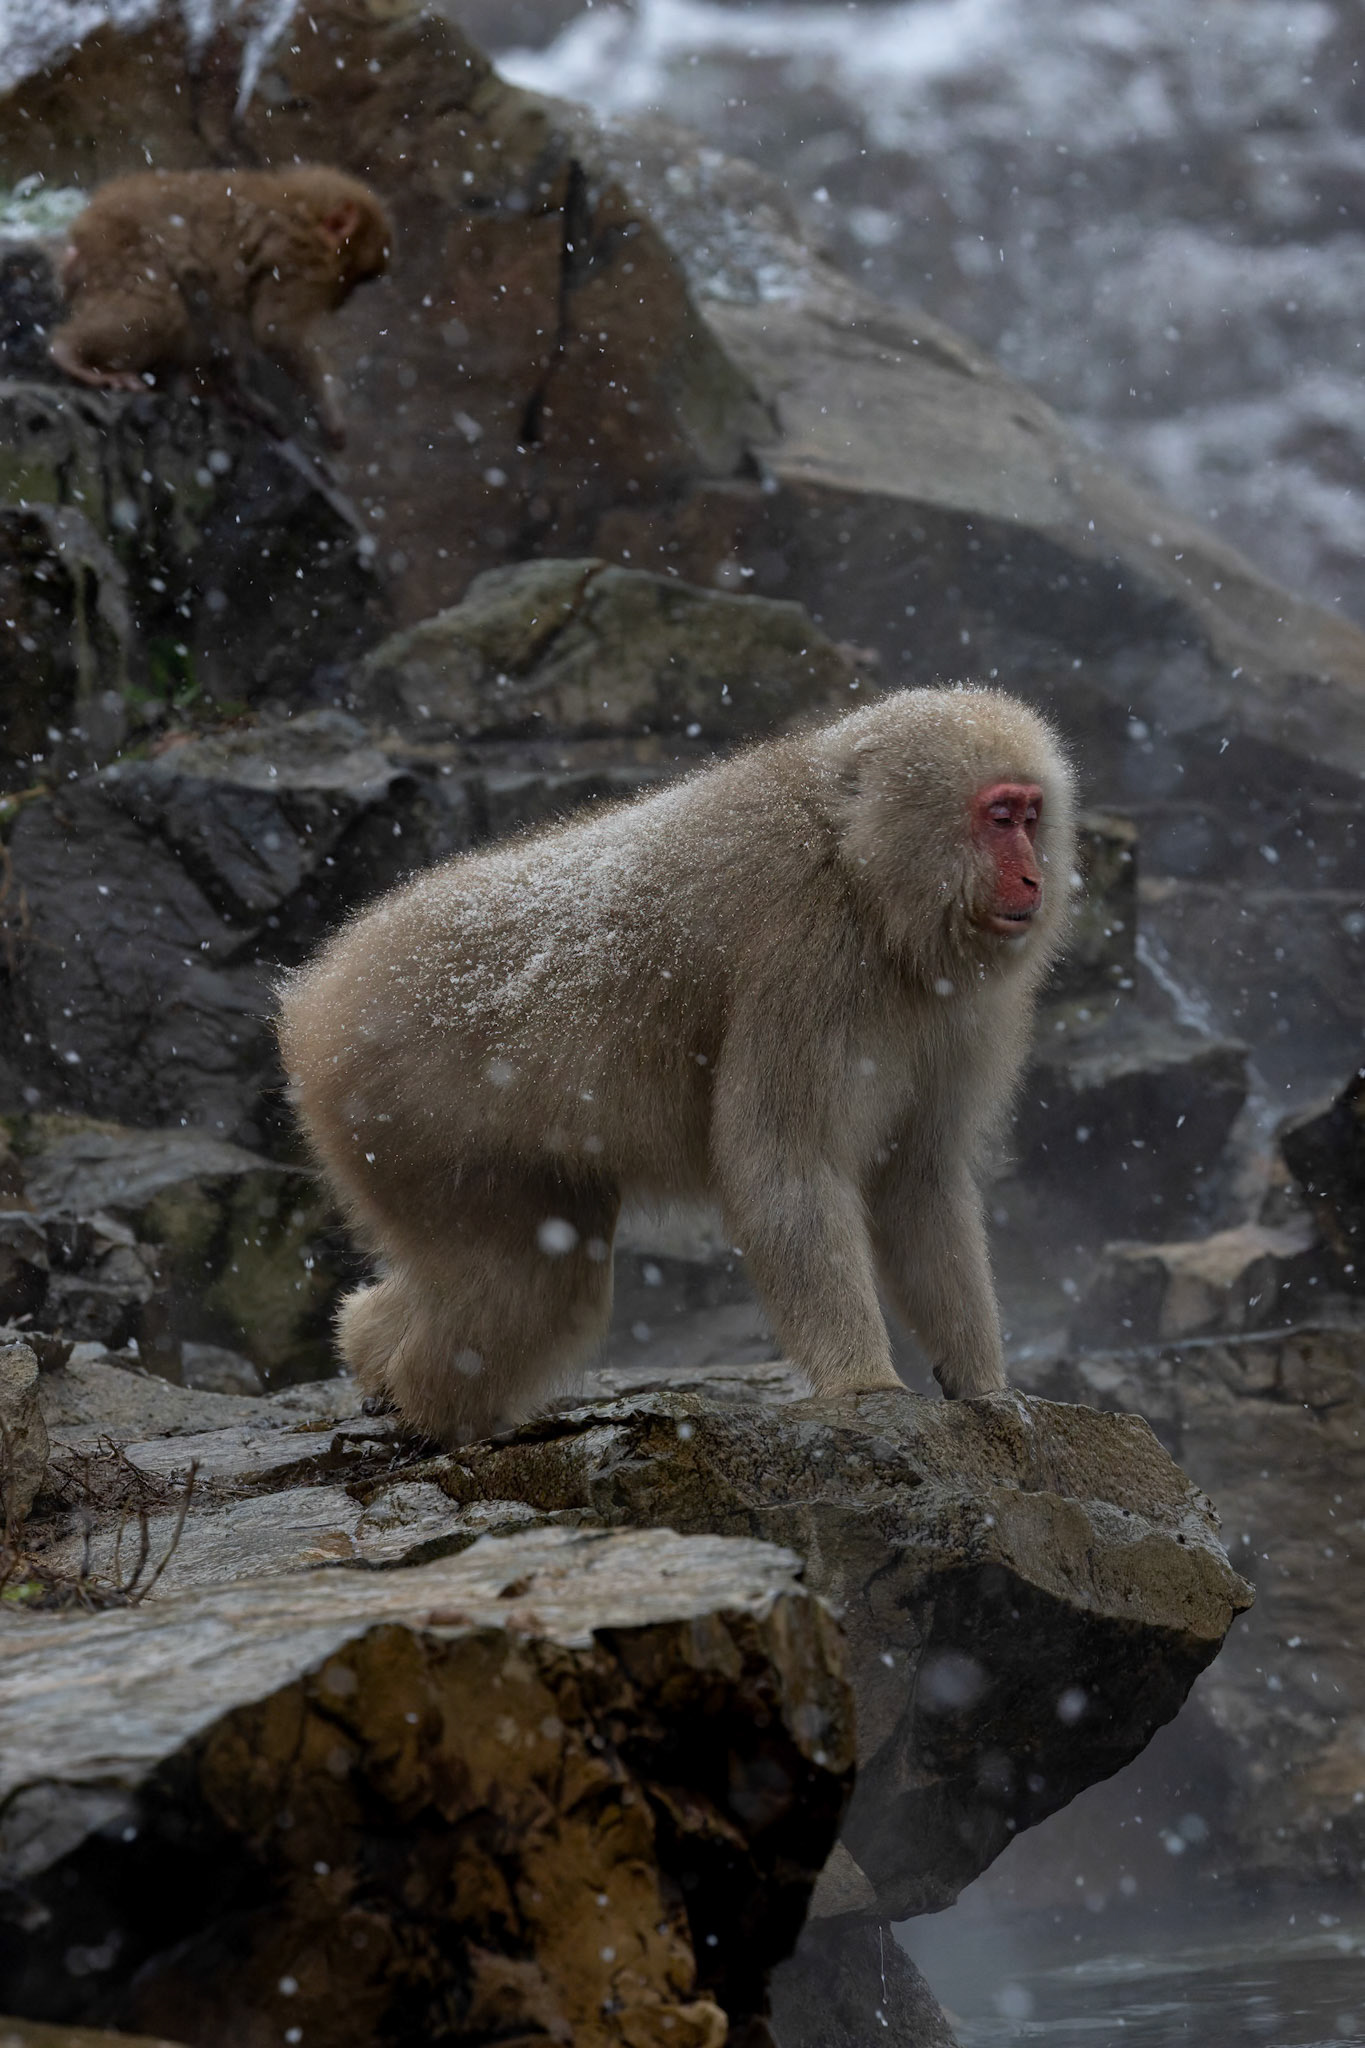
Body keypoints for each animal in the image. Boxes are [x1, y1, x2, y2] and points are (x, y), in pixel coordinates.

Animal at [49, 165, 392, 448]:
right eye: (352, 279)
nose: (341, 302)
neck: (303, 210)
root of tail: (81, 232)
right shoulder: (299, 265)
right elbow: (276, 333)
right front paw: (330, 417)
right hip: (120, 252)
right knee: (158, 314)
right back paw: (71, 353)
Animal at [278, 687, 1077, 1444]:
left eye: (1032, 816)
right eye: (998, 817)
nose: (1033, 881)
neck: (862, 874)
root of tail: (319, 994)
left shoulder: (960, 1011)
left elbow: (916, 1179)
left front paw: (985, 1386)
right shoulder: (808, 961)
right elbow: (783, 1164)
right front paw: (863, 1386)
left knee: (538, 1268)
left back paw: (374, 1359)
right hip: (402, 1112)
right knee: (527, 1278)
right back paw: (429, 1417)